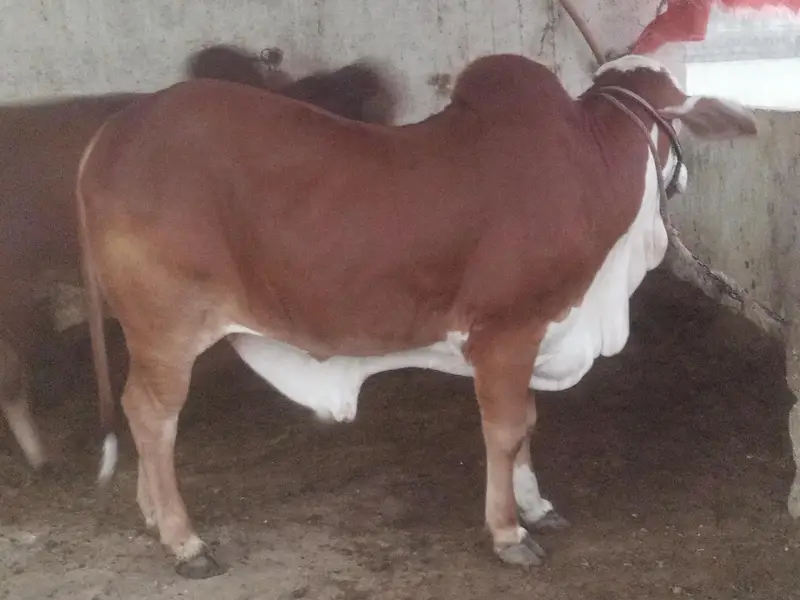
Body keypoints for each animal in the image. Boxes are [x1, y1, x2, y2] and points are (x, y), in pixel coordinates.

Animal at [75, 52, 757, 578]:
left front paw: (536, 506)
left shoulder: (535, 335)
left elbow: (529, 424)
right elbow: (507, 429)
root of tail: (113, 132)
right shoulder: (504, 333)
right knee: (152, 416)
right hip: (166, 327)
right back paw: (185, 541)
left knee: (140, 412)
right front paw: (508, 533)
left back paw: (153, 516)